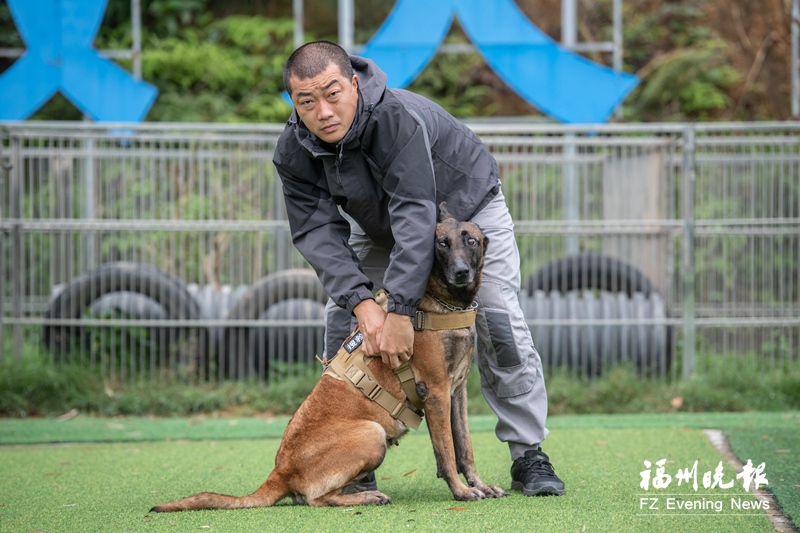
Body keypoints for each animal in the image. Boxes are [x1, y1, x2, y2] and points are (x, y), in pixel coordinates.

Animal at [150, 202, 506, 510]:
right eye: (441, 244)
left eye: (471, 241)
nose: (460, 272)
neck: (440, 304)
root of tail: (280, 471)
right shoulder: (436, 393)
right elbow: (447, 452)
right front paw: (461, 492)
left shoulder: (455, 393)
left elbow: (465, 448)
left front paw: (478, 485)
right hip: (371, 433)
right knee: (316, 499)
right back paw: (366, 497)